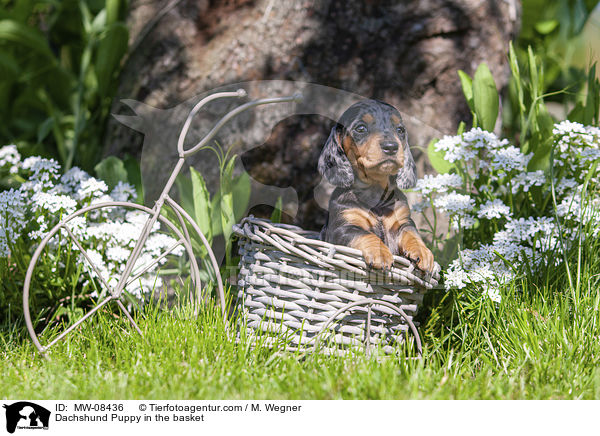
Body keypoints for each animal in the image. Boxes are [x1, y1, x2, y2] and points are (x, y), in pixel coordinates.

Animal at [318, 100, 436, 274]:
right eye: (361, 128)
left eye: (400, 130)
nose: (391, 146)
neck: (375, 192)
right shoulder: (344, 227)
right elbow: (364, 234)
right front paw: (380, 252)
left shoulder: (403, 221)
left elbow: (412, 233)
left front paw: (423, 251)